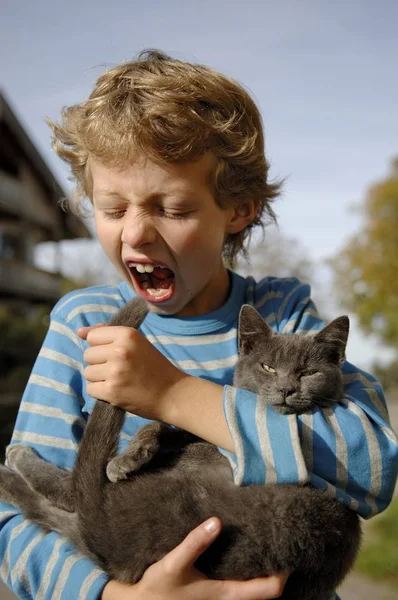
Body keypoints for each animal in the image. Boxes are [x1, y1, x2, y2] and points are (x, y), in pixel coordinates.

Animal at [0, 300, 360, 600]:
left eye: (309, 372)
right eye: (268, 367)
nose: (287, 388)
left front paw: (121, 462)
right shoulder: (184, 433)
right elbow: (158, 425)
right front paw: (131, 455)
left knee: (69, 490)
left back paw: (13, 464)